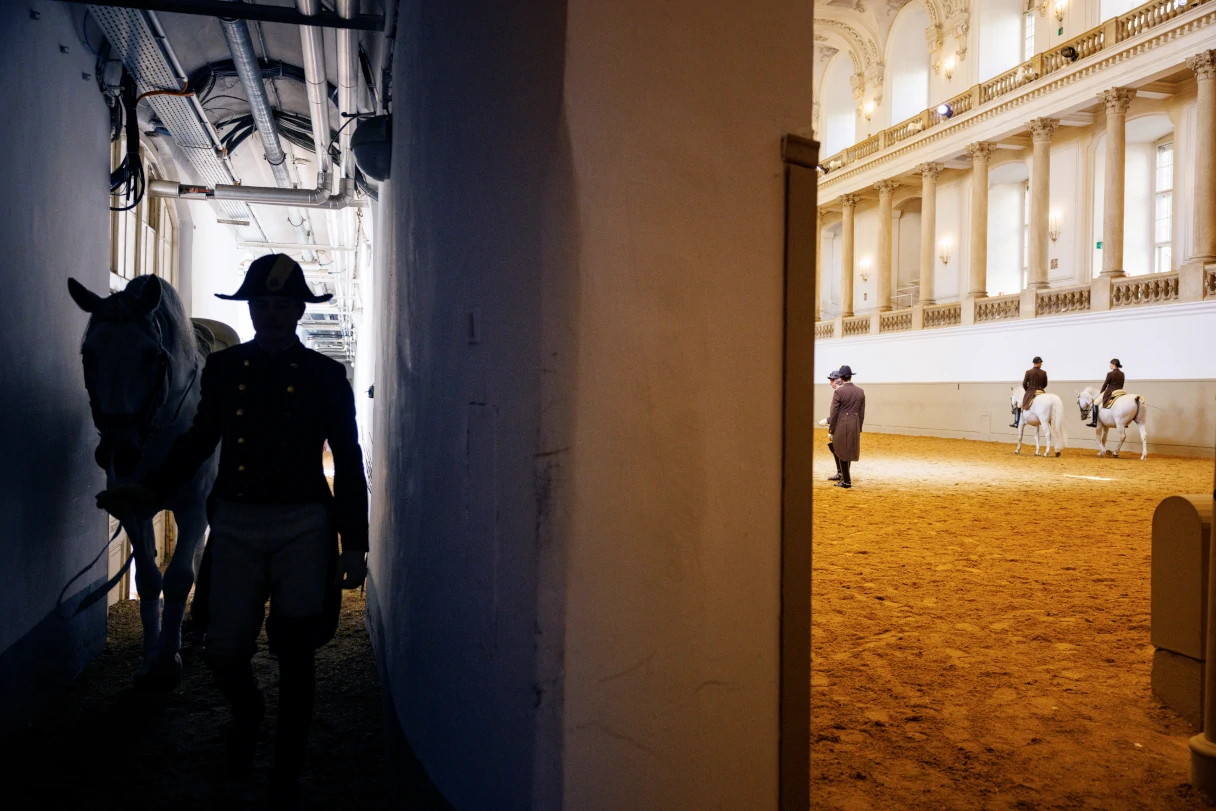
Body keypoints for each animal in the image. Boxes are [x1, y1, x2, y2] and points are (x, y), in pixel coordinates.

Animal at [67, 277, 218, 690]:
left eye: (153, 356)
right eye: (88, 355)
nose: (119, 451)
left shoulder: (193, 506)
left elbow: (178, 578)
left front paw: (168, 660)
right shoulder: (132, 507)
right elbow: (149, 578)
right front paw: (152, 658)